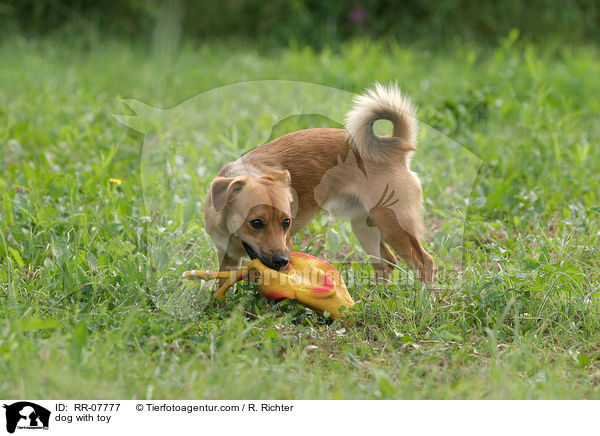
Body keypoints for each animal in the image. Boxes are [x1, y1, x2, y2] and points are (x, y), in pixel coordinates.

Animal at [204, 84, 434, 282]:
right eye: (256, 223)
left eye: (286, 222)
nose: (282, 261)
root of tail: (395, 145)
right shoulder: (228, 257)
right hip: (365, 226)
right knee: (386, 263)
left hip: (394, 226)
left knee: (424, 262)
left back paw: (424, 298)